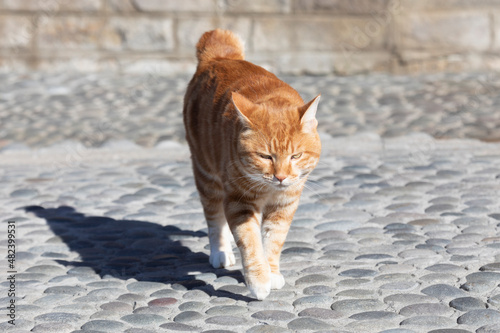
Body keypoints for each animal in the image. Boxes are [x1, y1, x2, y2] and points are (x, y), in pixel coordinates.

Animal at [184, 29, 320, 298]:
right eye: (266, 157)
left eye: (295, 156)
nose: (281, 177)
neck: (269, 190)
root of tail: (218, 56)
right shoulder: (239, 202)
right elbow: (250, 242)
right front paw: (259, 280)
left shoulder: (284, 205)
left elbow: (273, 241)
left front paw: (272, 272)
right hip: (207, 176)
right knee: (214, 218)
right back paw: (220, 252)